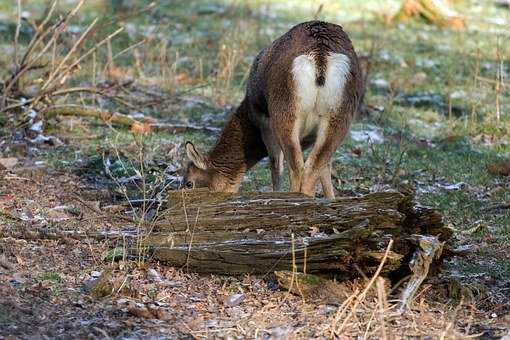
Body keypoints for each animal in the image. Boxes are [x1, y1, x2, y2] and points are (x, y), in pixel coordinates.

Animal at [182, 19, 362, 198]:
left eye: (189, 183)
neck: (249, 111)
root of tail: (320, 56)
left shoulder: (264, 122)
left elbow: (275, 163)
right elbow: (326, 170)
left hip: (284, 111)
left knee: (297, 167)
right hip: (340, 115)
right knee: (314, 166)